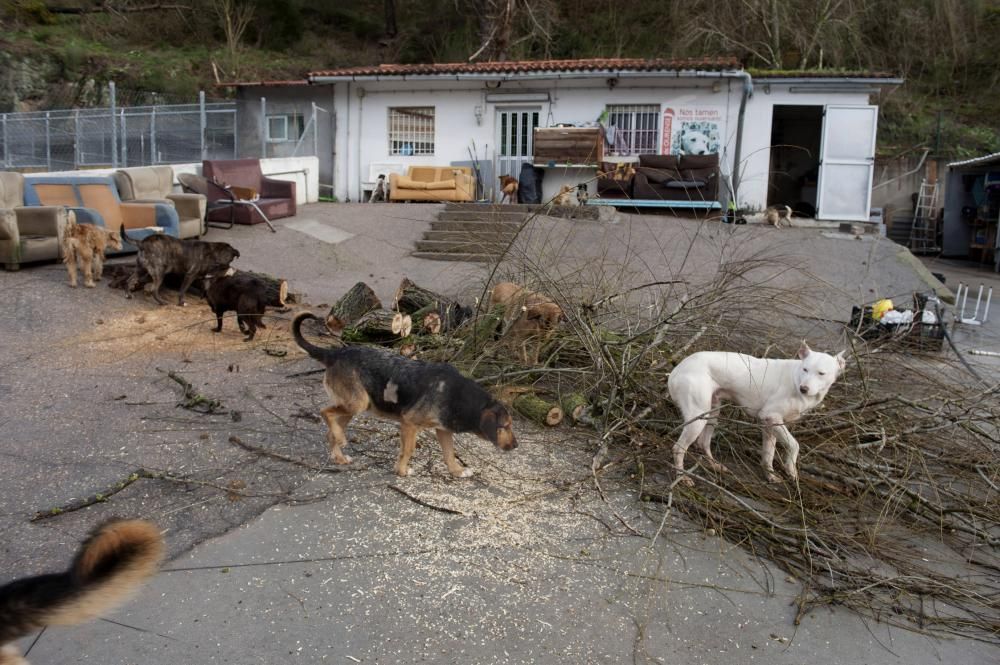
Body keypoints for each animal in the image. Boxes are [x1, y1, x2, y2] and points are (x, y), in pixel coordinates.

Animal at [292, 312, 520, 478]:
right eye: (505, 426)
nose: (516, 446)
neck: (458, 396)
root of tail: (334, 353)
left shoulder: (443, 430)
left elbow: (449, 454)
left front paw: (457, 471)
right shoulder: (409, 424)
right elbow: (408, 450)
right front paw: (401, 471)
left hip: (354, 406)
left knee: (331, 430)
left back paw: (339, 455)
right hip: (357, 403)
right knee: (325, 413)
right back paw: (340, 440)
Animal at [664, 342, 844, 482]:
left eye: (821, 373)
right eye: (805, 369)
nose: (803, 389)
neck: (795, 379)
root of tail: (677, 370)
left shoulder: (769, 425)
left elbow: (768, 454)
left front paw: (770, 475)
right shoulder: (771, 416)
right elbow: (794, 445)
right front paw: (790, 469)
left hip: (712, 412)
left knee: (702, 443)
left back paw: (714, 466)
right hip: (698, 418)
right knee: (678, 448)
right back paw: (682, 477)